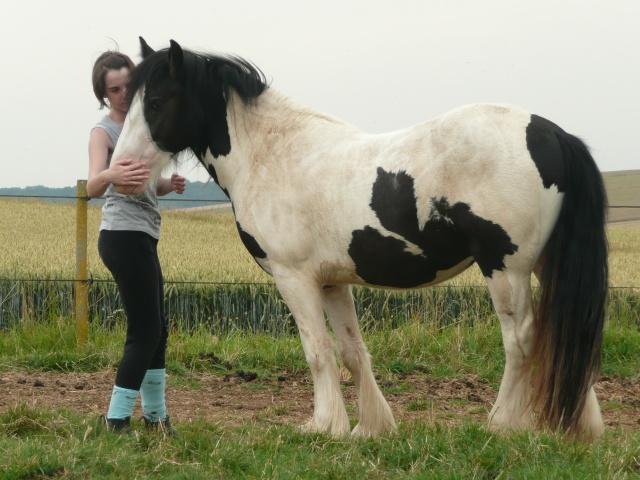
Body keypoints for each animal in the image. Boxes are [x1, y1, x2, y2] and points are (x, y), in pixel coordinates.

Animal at [112, 39, 608, 440]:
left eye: (155, 102)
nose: (121, 171)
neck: (273, 154)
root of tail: (552, 134)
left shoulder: (295, 279)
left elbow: (317, 351)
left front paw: (324, 425)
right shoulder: (332, 281)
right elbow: (353, 352)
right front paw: (370, 427)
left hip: (505, 268)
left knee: (522, 339)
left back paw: (502, 423)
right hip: (544, 265)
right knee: (563, 334)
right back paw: (579, 427)